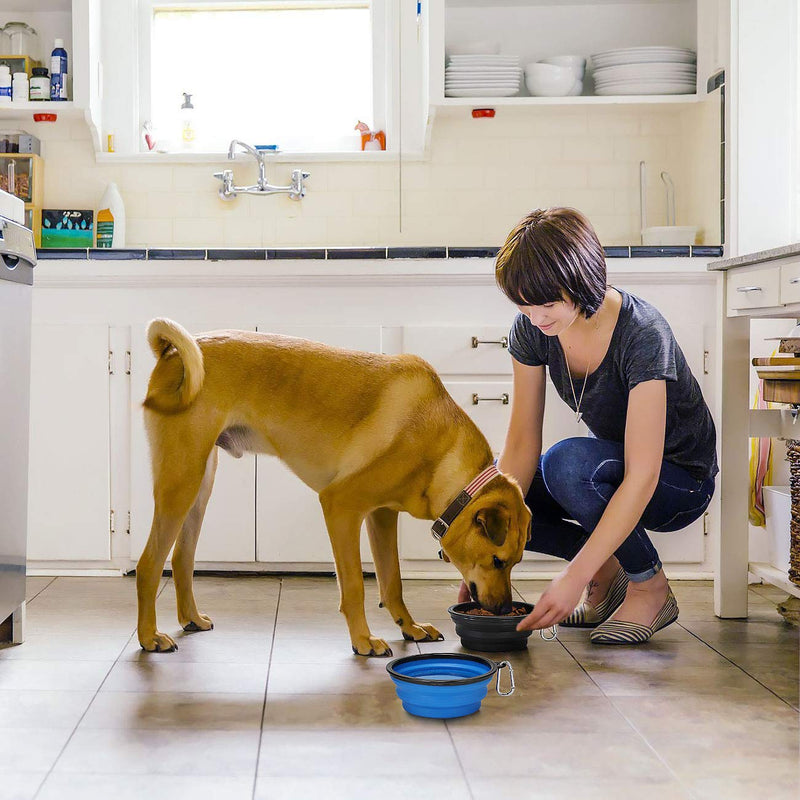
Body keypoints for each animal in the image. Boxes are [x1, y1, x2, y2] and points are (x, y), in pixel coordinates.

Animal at [136, 318, 532, 656]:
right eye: (497, 560)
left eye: (515, 563)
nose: (503, 610)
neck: (440, 449)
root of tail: (173, 352)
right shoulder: (341, 507)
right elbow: (355, 584)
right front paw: (363, 641)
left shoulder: (381, 517)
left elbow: (392, 581)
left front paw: (410, 627)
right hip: (180, 482)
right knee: (149, 564)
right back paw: (149, 637)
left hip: (200, 485)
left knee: (181, 558)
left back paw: (191, 619)